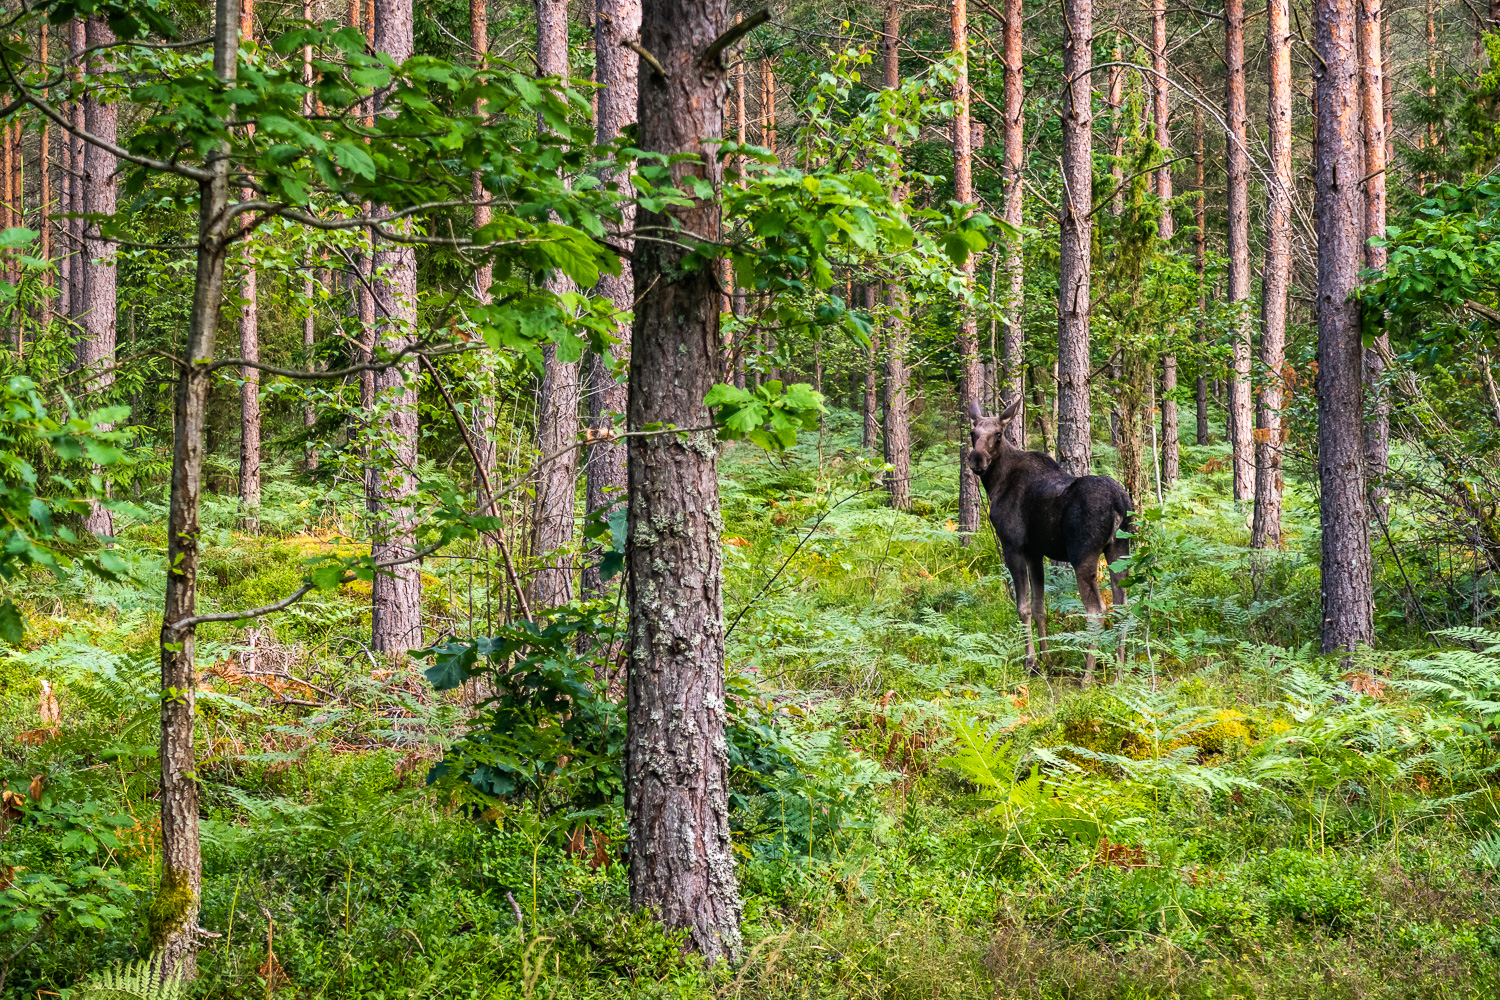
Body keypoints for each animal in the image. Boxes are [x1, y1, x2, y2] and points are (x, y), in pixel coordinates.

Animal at [966, 395, 1128, 680]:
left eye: (998, 434)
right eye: (972, 433)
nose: (977, 460)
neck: (995, 484)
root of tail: (1119, 502)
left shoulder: (1013, 546)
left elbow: (1023, 607)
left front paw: (1030, 662)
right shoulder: (1035, 551)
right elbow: (1040, 607)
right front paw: (1046, 660)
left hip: (1083, 555)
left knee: (1097, 610)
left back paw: (1087, 677)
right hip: (1119, 549)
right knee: (1122, 606)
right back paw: (1119, 674)